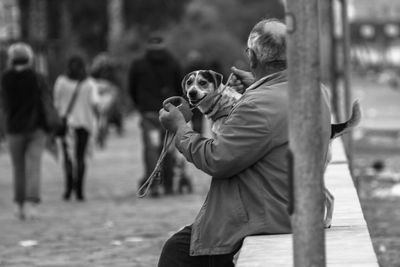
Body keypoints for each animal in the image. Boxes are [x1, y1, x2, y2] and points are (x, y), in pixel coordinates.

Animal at [182, 69, 362, 228]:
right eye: (189, 83)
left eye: (202, 82)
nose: (191, 93)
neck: (222, 105)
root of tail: (330, 128)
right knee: (328, 197)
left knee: (327, 198)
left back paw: (324, 223)